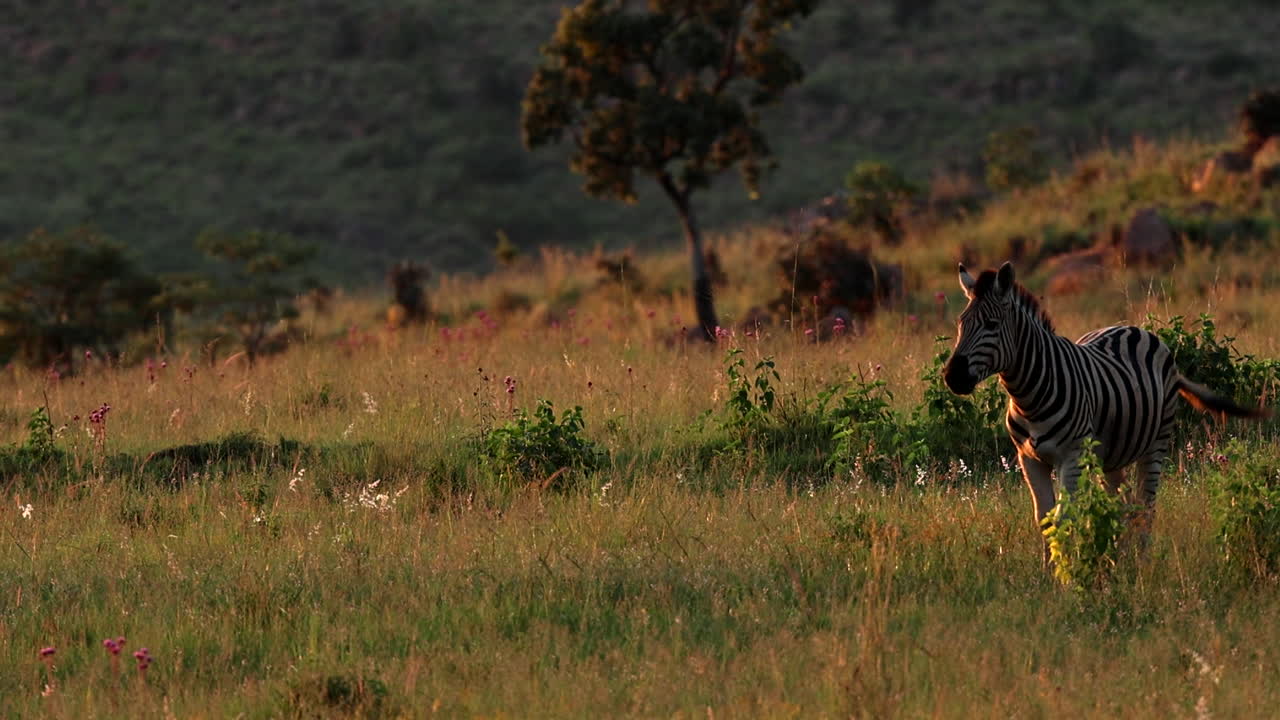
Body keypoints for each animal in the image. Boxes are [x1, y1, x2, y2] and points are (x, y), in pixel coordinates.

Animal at [942, 261, 1266, 549]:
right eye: (960, 324)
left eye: (991, 325)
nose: (951, 376)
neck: (1028, 398)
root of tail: (1135, 329)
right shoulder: (1028, 459)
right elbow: (1045, 520)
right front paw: (1051, 572)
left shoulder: (1072, 457)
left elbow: (1064, 518)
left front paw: (1069, 573)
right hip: (1111, 456)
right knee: (1123, 506)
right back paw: (1117, 557)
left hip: (1156, 443)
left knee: (1145, 509)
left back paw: (1139, 563)